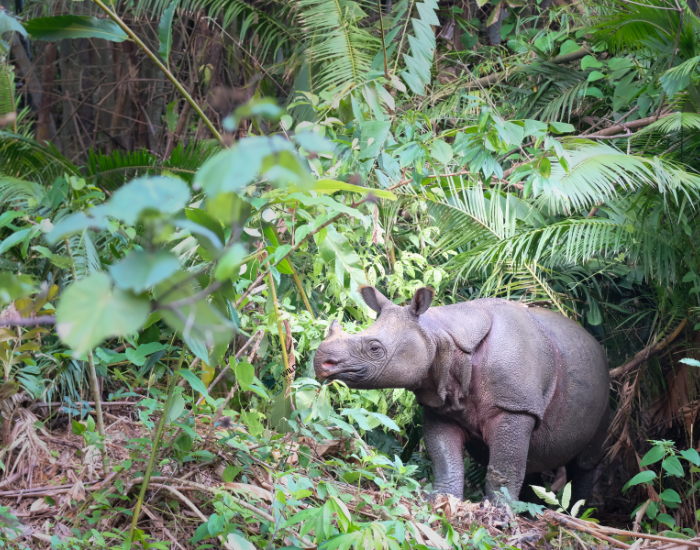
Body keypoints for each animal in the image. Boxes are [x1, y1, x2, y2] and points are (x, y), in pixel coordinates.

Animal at [313, 286, 610, 503]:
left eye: (375, 349)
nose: (321, 363)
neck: (438, 334)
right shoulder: (440, 404)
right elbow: (445, 457)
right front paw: (441, 501)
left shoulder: (515, 406)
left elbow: (504, 469)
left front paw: (499, 516)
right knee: (534, 462)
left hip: (606, 385)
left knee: (583, 463)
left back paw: (577, 513)